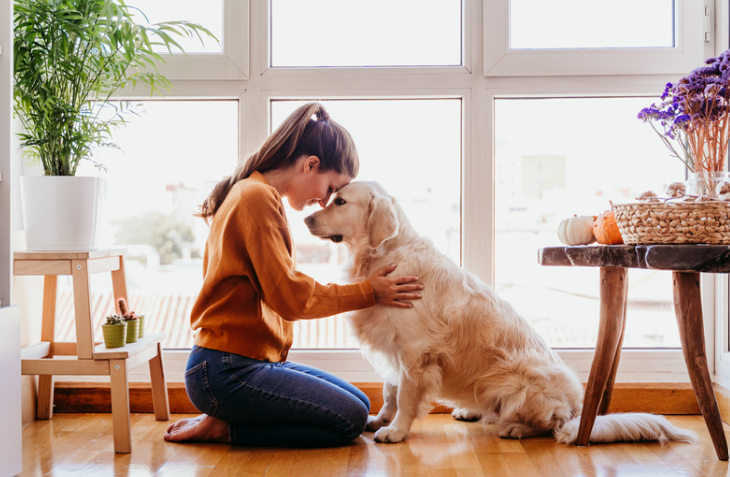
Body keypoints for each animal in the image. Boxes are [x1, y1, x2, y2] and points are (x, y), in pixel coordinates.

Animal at [302, 180, 692, 444]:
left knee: (549, 425)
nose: (305, 220)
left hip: (518, 380)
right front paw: (381, 420)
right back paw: (471, 410)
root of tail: (578, 411)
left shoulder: (415, 352)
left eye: (339, 201)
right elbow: (389, 390)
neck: (383, 256)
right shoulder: (393, 346)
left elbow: (407, 395)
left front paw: (395, 431)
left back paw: (514, 427)